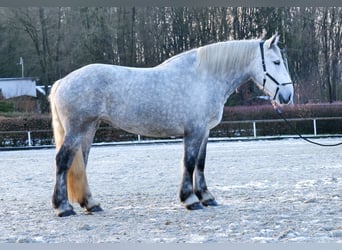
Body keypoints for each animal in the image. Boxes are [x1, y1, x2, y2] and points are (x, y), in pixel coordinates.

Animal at [50, 33, 294, 217]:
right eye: (276, 62)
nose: (288, 96)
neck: (204, 78)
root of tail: (61, 82)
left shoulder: (204, 132)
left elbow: (200, 164)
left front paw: (206, 197)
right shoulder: (194, 131)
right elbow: (189, 163)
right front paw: (190, 200)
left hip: (88, 130)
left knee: (80, 164)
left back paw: (91, 204)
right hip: (77, 130)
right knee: (63, 161)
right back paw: (63, 207)